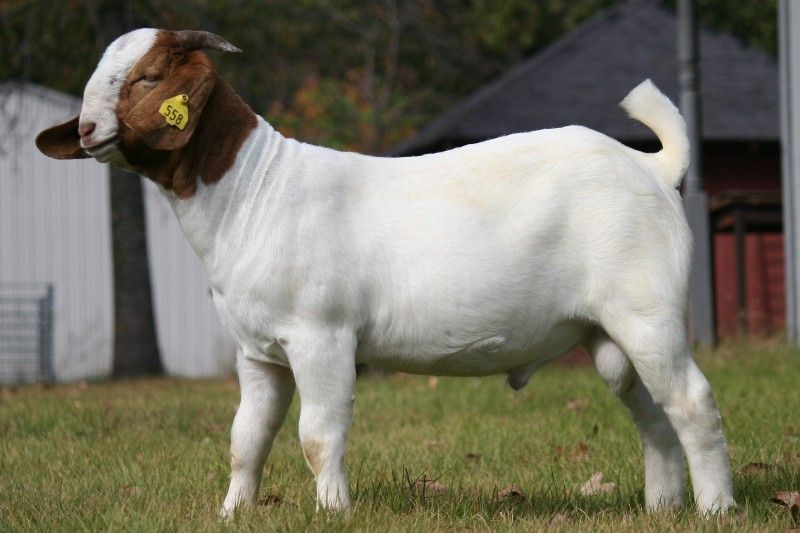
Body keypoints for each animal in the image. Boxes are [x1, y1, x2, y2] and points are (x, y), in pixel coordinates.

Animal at [36, 29, 735, 516]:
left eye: (148, 76)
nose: (89, 129)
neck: (252, 190)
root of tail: (652, 167)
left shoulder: (320, 335)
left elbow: (318, 434)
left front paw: (333, 511)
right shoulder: (256, 351)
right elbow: (246, 438)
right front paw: (232, 512)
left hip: (647, 311)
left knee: (693, 402)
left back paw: (716, 509)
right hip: (609, 335)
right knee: (653, 414)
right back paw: (663, 506)